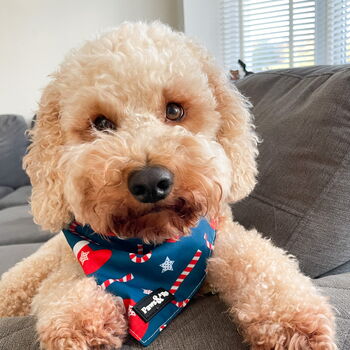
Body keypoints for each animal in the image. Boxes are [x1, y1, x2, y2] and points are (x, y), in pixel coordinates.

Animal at [0, 22, 336, 350]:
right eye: (101, 124)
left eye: (174, 111)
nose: (150, 182)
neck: (148, 249)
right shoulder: (70, 265)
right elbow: (64, 286)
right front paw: (80, 321)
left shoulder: (221, 235)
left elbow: (258, 262)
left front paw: (292, 321)